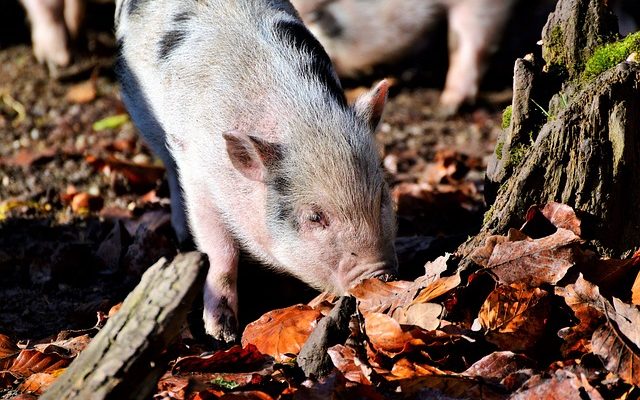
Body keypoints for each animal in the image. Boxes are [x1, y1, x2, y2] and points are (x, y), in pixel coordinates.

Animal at [114, 0, 396, 342]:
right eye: (315, 217)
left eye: (381, 198)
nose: (380, 274)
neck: (303, 121)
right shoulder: (198, 175)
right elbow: (219, 250)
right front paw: (222, 334)